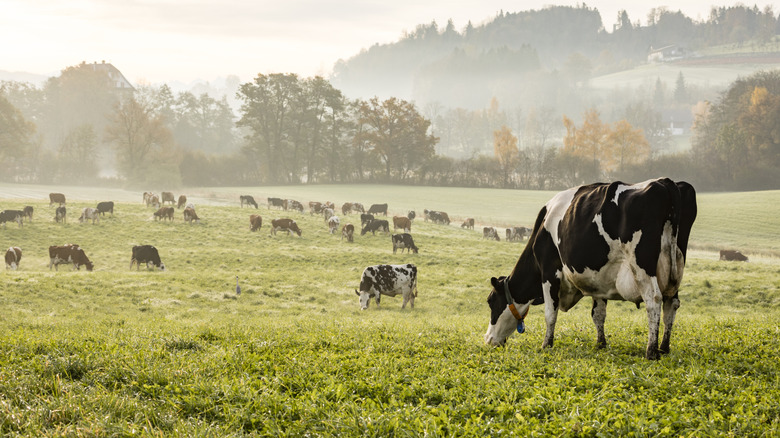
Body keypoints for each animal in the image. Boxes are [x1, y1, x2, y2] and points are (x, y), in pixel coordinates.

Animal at [484, 178, 696, 360]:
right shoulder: (599, 279)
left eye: (491, 301)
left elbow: (550, 313)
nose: (488, 339)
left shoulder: (549, 270)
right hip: (675, 268)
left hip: (642, 265)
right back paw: (664, 347)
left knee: (654, 300)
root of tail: (664, 182)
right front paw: (600, 344)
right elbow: (598, 314)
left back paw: (651, 351)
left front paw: (546, 344)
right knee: (671, 303)